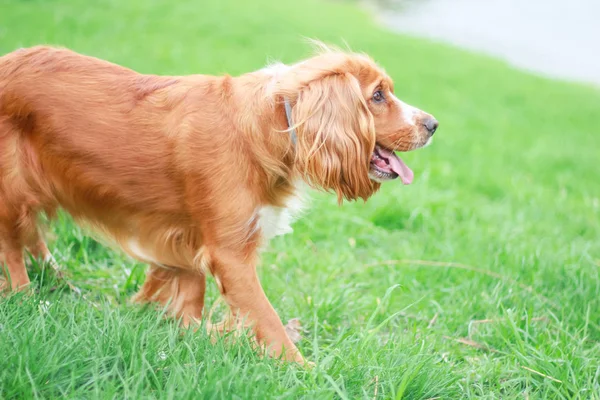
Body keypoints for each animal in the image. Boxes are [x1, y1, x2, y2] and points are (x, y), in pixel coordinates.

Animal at [0, 43, 438, 366]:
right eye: (377, 96)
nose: (433, 124)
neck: (272, 123)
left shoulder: (183, 237)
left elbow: (191, 293)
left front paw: (191, 335)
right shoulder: (230, 254)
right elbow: (268, 319)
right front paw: (307, 371)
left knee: (33, 236)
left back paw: (58, 280)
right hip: (12, 189)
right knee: (13, 244)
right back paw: (24, 295)